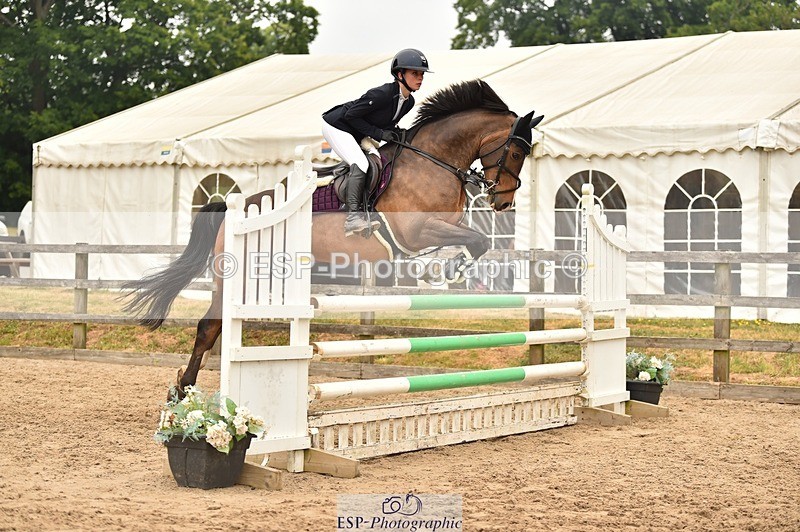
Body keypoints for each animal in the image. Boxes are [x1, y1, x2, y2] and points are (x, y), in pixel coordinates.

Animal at [123, 79, 542, 396]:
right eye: (516, 152)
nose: (503, 202)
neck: (433, 160)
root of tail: (233, 208)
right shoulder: (415, 231)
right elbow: (476, 242)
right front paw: (449, 269)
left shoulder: (440, 227)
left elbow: (473, 242)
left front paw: (443, 268)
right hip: (236, 278)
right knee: (209, 326)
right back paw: (183, 391)